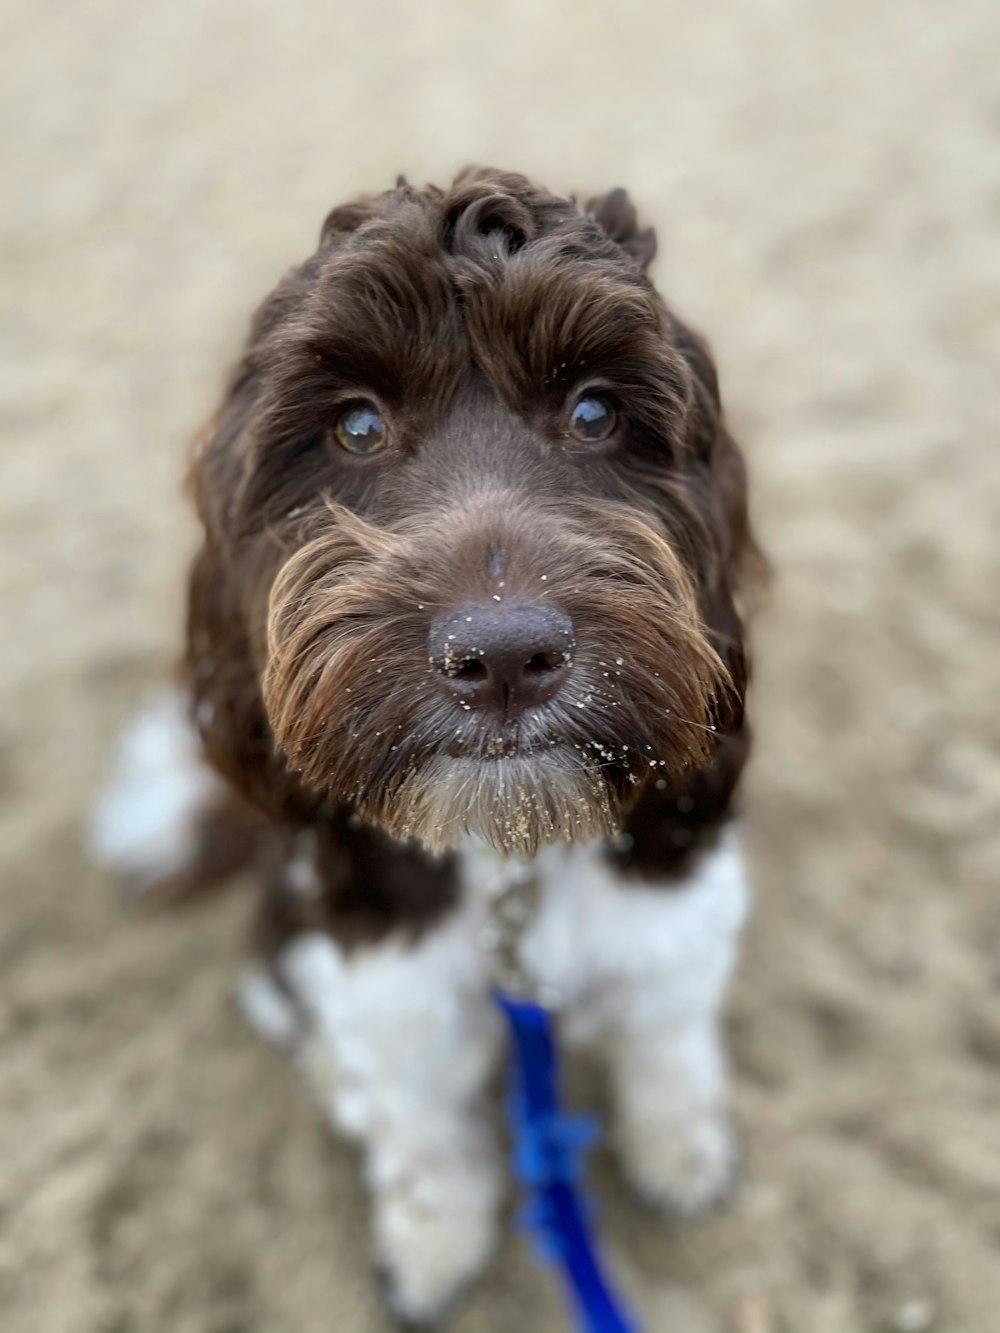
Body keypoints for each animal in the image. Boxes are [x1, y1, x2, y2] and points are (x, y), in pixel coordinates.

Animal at [94, 166, 762, 1322]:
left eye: (596, 410)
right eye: (357, 426)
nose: (503, 654)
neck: (511, 865)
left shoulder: (673, 928)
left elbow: (669, 1052)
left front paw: (679, 1153)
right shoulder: (389, 981)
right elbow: (420, 1139)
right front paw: (433, 1244)